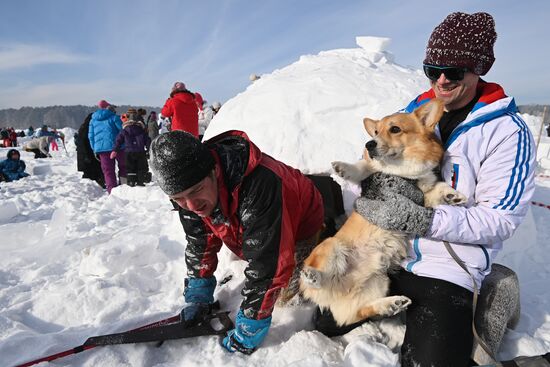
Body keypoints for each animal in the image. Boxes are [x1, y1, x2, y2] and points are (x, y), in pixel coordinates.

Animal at [300, 99, 468, 326]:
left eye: (395, 129)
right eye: (376, 132)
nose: (369, 144)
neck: (404, 171)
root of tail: (338, 287)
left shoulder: (423, 195)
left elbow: (437, 188)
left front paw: (452, 195)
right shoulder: (373, 170)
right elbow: (362, 167)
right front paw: (343, 168)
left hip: (379, 281)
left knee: (359, 312)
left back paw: (392, 304)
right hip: (331, 246)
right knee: (318, 279)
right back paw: (312, 276)